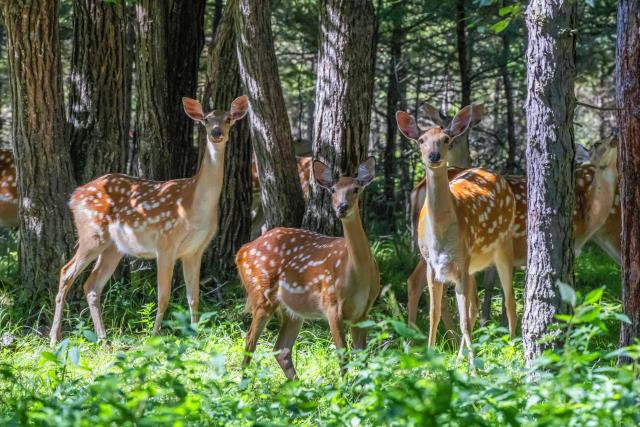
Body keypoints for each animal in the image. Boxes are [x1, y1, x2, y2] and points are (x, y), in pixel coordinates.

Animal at [49, 96, 249, 345]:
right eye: (206, 119)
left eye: (228, 119)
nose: (216, 132)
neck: (195, 208)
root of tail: (74, 196)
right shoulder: (165, 241)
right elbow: (163, 295)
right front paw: (154, 336)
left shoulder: (195, 250)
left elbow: (193, 297)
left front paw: (196, 335)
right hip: (92, 233)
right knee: (66, 272)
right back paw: (54, 338)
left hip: (113, 247)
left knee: (91, 284)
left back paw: (103, 339)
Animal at [237, 157, 380, 380]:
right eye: (333, 190)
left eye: (356, 189)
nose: (342, 207)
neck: (357, 276)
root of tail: (242, 251)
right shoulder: (331, 304)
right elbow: (343, 356)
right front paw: (345, 387)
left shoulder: (363, 312)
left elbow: (362, 357)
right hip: (261, 293)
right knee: (250, 341)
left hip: (292, 310)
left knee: (281, 349)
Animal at [396, 105, 518, 360]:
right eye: (421, 140)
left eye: (446, 138)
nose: (434, 156)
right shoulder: (434, 265)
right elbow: (434, 313)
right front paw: (431, 355)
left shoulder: (462, 262)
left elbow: (465, 317)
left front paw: (472, 363)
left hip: (503, 246)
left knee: (510, 302)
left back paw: (512, 351)